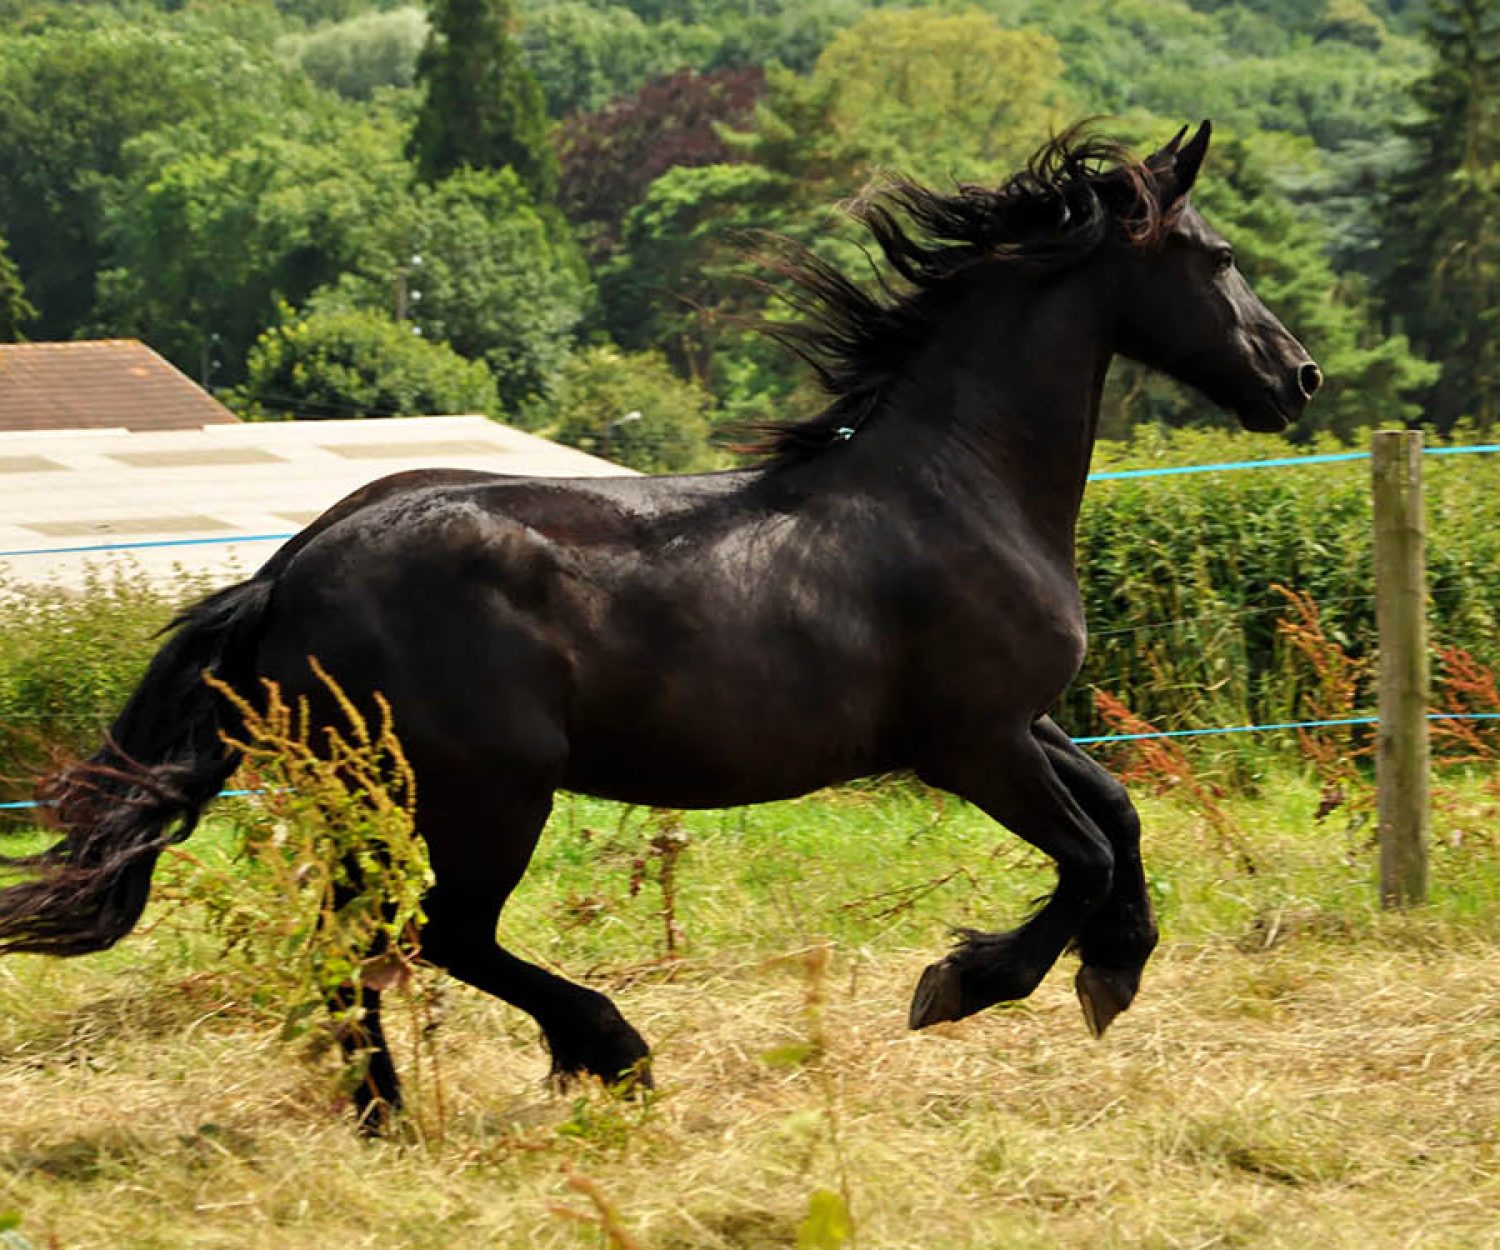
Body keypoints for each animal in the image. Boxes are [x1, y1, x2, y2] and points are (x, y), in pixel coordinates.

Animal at [0, 121, 1319, 1129]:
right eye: (1217, 253)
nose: (1297, 377)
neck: (961, 485)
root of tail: (290, 571)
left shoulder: (1018, 724)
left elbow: (1120, 812)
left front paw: (1115, 969)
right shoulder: (972, 742)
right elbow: (1086, 849)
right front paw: (963, 980)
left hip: (371, 800)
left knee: (354, 940)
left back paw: (386, 1112)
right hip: (485, 793)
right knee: (443, 933)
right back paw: (611, 1052)